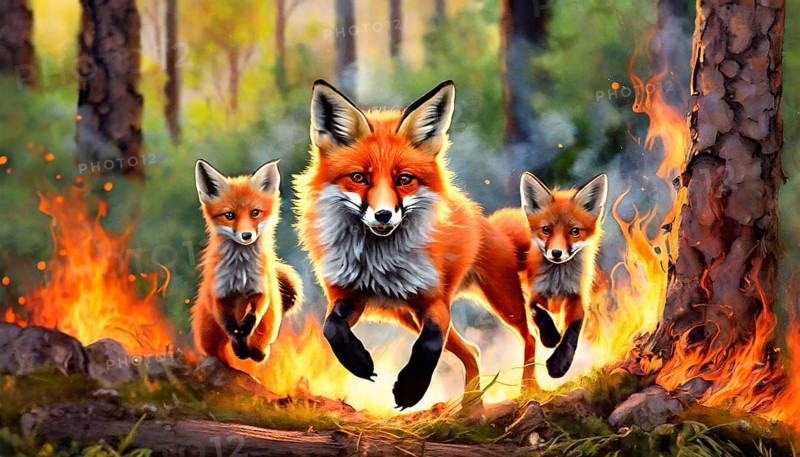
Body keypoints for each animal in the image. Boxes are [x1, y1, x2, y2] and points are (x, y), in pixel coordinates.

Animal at [192, 159, 302, 366]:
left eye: (255, 213)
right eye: (229, 215)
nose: (246, 235)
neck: (240, 271)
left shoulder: (260, 289)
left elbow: (255, 312)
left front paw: (246, 329)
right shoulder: (218, 293)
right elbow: (228, 324)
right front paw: (237, 340)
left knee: (260, 347)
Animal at [294, 80, 539, 409]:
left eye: (404, 179)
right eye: (358, 177)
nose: (383, 214)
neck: (379, 262)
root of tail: (485, 220)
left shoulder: (433, 303)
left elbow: (429, 343)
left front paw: (411, 389)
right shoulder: (349, 297)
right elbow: (331, 327)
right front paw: (358, 362)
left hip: (503, 301)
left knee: (529, 337)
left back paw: (528, 389)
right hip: (408, 317)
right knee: (472, 351)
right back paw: (470, 405)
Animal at [491, 172, 607, 379]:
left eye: (574, 231)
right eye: (546, 230)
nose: (556, 253)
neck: (558, 282)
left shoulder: (577, 298)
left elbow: (572, 333)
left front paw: (558, 364)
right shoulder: (535, 294)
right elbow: (539, 313)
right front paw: (551, 338)